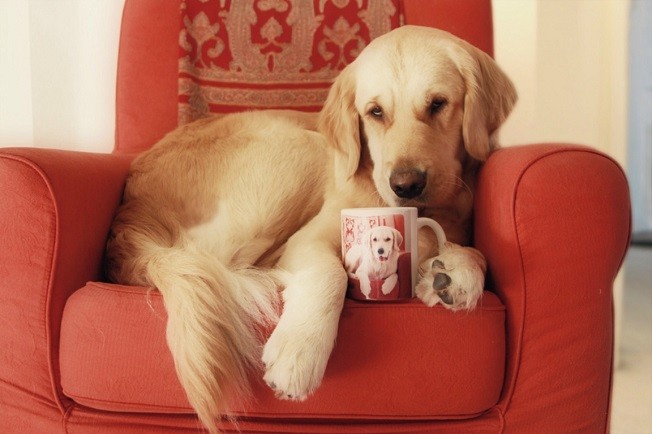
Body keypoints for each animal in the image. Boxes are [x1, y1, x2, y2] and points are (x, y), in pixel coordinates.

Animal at [104, 26, 516, 430]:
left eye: (437, 104)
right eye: (376, 112)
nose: (406, 185)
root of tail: (131, 213)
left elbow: (472, 251)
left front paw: (453, 274)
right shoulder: (311, 237)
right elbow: (331, 273)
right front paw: (299, 351)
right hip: (303, 148)